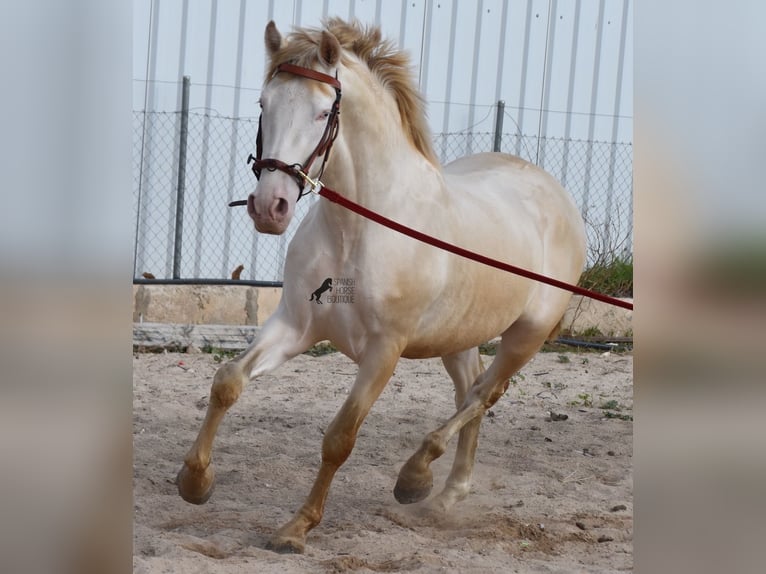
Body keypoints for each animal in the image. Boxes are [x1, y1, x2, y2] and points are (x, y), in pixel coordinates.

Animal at [180, 19, 588, 560]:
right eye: (264, 103)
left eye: (321, 111)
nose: (270, 208)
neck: (360, 228)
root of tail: (553, 191)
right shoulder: (295, 325)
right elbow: (227, 382)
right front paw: (194, 482)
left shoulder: (384, 352)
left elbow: (339, 438)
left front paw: (296, 528)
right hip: (457, 336)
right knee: (470, 389)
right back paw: (446, 493)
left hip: (527, 334)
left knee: (486, 392)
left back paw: (415, 477)